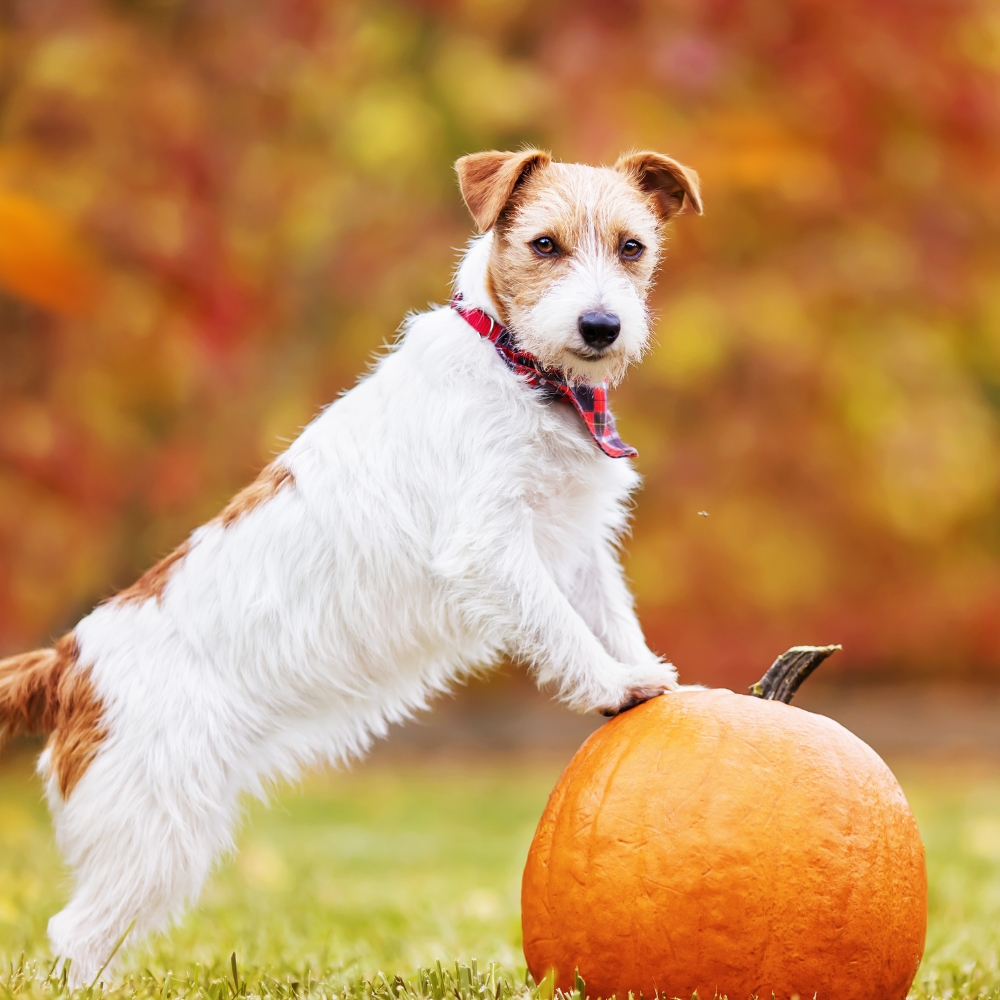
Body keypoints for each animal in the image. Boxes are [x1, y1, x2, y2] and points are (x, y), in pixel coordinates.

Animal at [0, 148, 704, 984]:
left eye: (632, 247)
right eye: (543, 245)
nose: (602, 326)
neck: (519, 369)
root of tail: (69, 660)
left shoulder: (574, 545)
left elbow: (609, 616)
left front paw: (652, 676)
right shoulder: (491, 547)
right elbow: (561, 627)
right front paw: (614, 686)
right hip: (152, 835)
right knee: (74, 937)